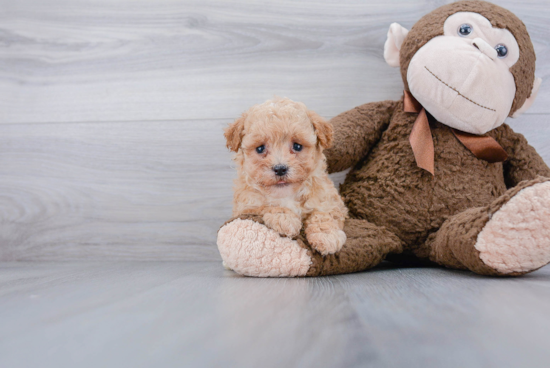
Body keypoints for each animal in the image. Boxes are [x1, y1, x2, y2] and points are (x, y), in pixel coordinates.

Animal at [225, 98, 350, 256]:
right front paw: (284, 218)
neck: (286, 194)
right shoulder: (244, 208)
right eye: (260, 148)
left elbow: (324, 213)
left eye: (297, 146)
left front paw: (326, 236)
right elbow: (265, 206)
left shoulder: (330, 200)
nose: (280, 169)